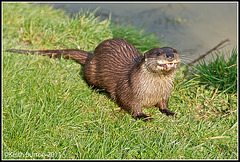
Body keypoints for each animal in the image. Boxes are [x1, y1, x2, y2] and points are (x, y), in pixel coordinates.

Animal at [5, 37, 180, 121]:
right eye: (158, 53)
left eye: (174, 50)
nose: (170, 55)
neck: (153, 92)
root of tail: (91, 56)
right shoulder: (130, 92)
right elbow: (131, 105)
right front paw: (142, 116)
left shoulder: (165, 95)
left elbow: (164, 105)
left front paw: (170, 112)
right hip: (92, 70)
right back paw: (96, 89)